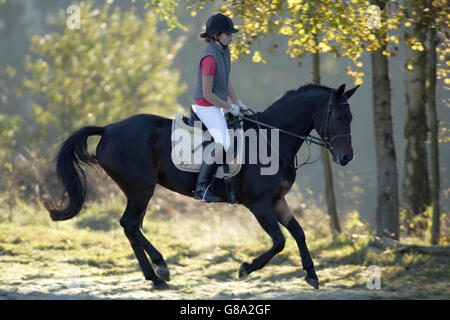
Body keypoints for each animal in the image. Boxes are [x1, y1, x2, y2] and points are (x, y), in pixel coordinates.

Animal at [45, 82, 358, 290]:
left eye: (351, 117)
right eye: (339, 117)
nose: (346, 158)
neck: (273, 138)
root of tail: (109, 129)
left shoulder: (278, 201)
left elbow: (299, 233)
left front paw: (312, 274)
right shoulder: (259, 205)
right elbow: (280, 241)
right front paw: (245, 268)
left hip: (139, 191)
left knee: (131, 227)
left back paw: (155, 275)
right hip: (141, 189)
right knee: (131, 224)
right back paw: (160, 270)